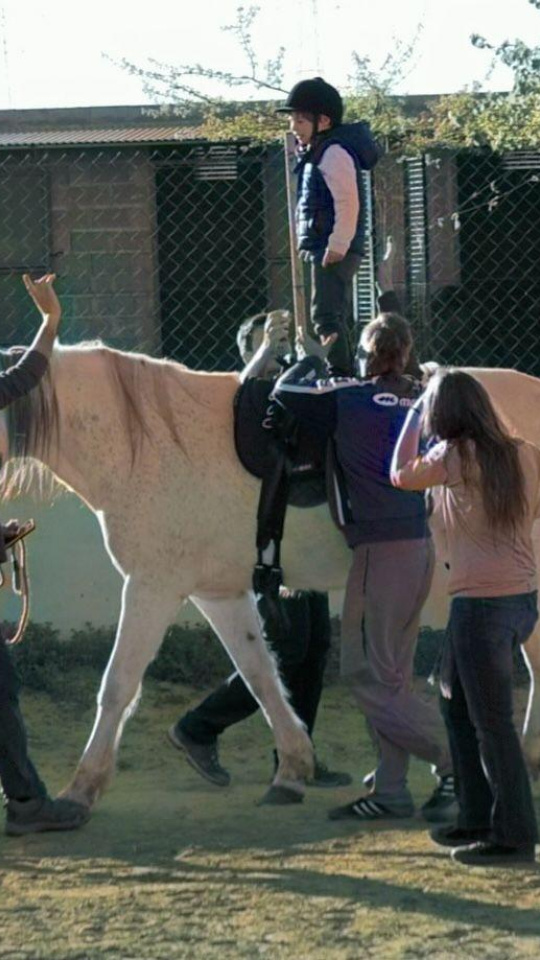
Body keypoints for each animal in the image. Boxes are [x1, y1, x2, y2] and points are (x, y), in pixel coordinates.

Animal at [2, 342, 540, 808]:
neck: (150, 443)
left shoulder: (152, 587)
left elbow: (118, 684)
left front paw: (81, 788)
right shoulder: (218, 593)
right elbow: (260, 674)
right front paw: (293, 768)